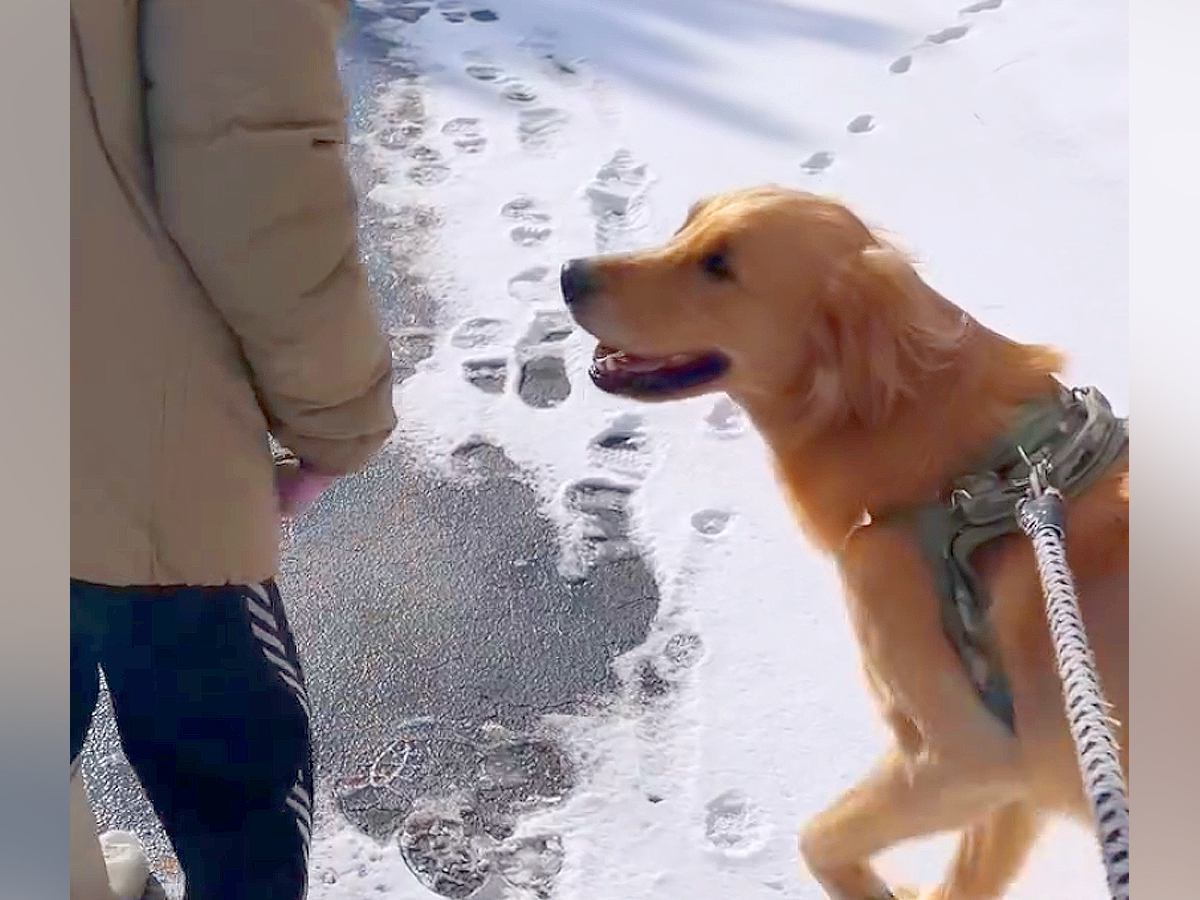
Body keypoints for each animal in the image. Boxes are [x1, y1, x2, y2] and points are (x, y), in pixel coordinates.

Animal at [556, 187, 1128, 897]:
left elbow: (816, 838)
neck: (964, 475)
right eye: (688, 222)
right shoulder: (1014, 781)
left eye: (719, 265)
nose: (569, 274)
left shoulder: (970, 756)